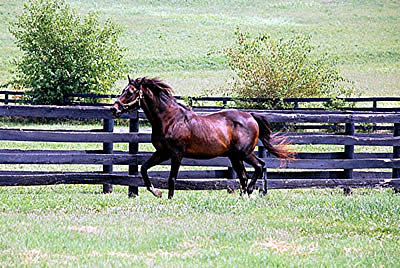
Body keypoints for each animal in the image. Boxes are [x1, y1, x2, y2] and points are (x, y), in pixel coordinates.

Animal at [111, 76, 294, 198]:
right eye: (123, 91)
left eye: (130, 92)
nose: (114, 109)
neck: (169, 119)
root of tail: (251, 116)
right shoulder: (162, 153)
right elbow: (143, 168)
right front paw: (157, 192)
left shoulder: (176, 154)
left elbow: (172, 178)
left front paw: (169, 198)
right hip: (235, 157)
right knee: (244, 175)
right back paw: (243, 197)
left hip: (244, 153)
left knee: (260, 166)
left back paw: (250, 191)